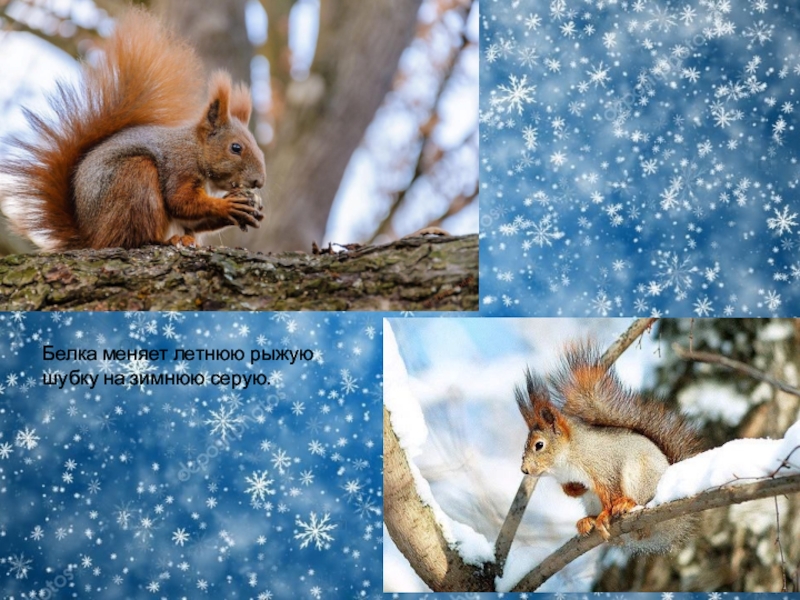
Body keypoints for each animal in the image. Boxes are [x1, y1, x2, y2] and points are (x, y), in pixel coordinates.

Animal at [3, 10, 266, 252]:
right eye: (235, 147)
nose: (259, 182)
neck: (196, 148)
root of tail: (91, 238)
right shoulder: (179, 166)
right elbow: (180, 201)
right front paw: (228, 206)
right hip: (135, 179)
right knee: (134, 238)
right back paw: (167, 240)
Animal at [516, 342, 704, 552]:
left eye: (539, 445)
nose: (524, 470)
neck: (564, 463)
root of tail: (672, 526)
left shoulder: (603, 468)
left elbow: (609, 491)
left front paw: (605, 514)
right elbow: (571, 490)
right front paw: (577, 489)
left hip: (640, 477)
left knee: (640, 501)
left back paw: (625, 504)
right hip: (592, 501)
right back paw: (587, 520)